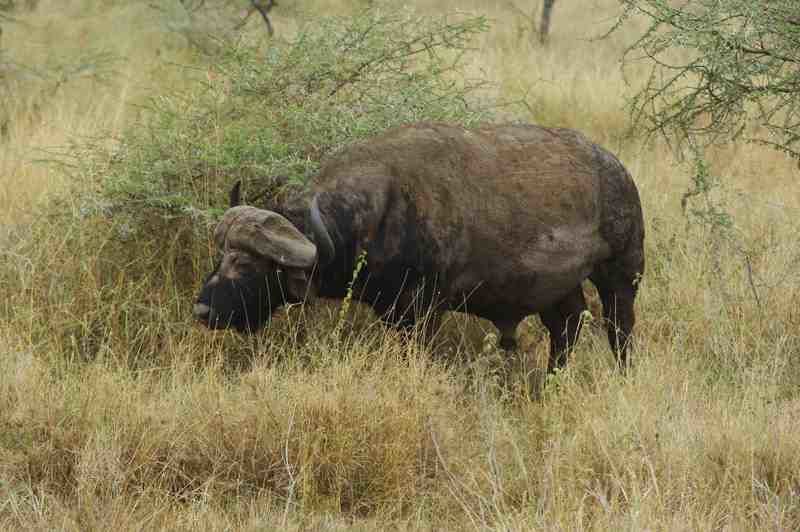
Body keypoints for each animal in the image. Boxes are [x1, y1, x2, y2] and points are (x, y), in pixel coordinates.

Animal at [194, 123, 644, 374]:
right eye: (221, 257)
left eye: (248, 264)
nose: (203, 310)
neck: (383, 212)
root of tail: (617, 169)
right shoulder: (394, 312)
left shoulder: (424, 310)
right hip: (557, 289)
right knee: (566, 327)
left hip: (622, 274)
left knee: (619, 331)